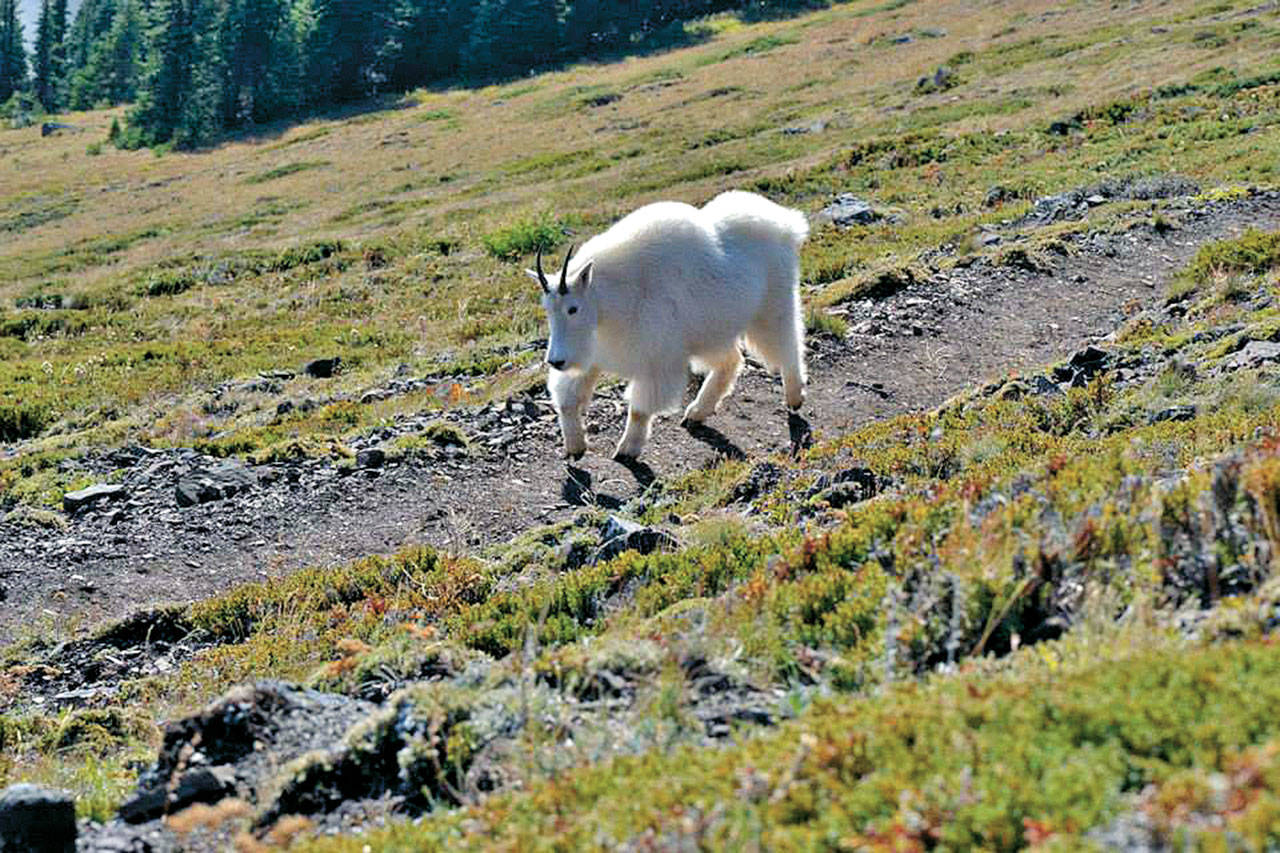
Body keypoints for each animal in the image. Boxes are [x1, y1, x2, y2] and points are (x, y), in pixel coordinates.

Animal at [529, 190, 808, 460]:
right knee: (731, 360)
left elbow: (639, 409)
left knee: (787, 345)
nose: (556, 361)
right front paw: (575, 447)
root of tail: (786, 223)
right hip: (711, 332)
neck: (612, 300)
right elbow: (568, 400)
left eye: (573, 308)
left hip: (772, 306)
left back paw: (795, 397)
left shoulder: (656, 359)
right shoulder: (593, 355)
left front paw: (626, 450)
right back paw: (696, 412)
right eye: (548, 309)